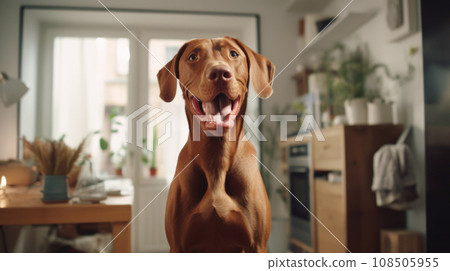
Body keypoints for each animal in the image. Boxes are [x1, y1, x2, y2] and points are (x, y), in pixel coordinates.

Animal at [158, 36, 274, 253]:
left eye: (234, 54)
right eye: (193, 57)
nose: (220, 73)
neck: (216, 158)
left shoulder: (257, 245)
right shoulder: (177, 246)